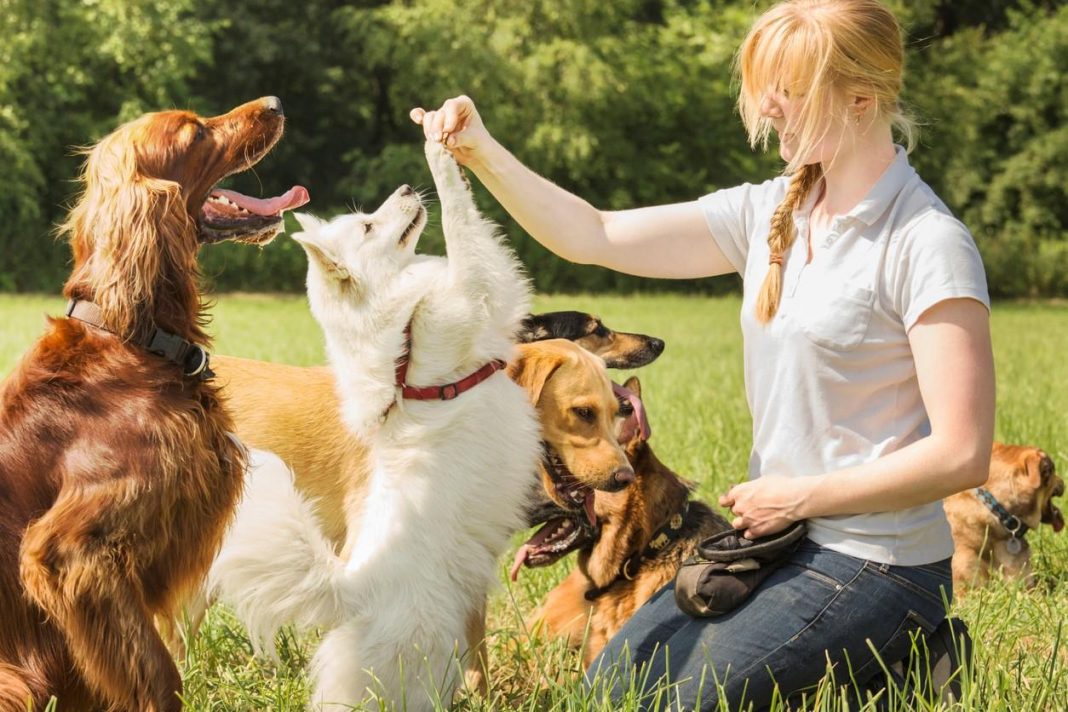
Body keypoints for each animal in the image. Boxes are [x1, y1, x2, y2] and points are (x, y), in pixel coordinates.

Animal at [0, 98, 305, 712]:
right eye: (196, 134)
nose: (276, 104)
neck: (131, 338)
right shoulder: (70, 554)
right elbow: (160, 674)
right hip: (12, 680)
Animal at [209, 141, 542, 708]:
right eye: (368, 226)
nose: (406, 188)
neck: (403, 332)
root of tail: (351, 590)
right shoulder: (478, 289)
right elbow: (463, 224)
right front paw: (440, 153)